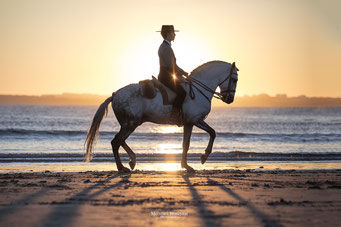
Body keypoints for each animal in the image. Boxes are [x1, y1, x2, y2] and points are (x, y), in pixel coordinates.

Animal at [85, 60, 239, 172]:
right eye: (234, 79)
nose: (230, 99)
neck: (197, 90)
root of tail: (115, 94)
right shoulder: (196, 120)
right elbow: (212, 133)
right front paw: (204, 156)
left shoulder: (189, 123)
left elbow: (186, 144)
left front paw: (185, 165)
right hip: (130, 123)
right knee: (116, 142)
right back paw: (123, 166)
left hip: (130, 124)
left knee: (120, 141)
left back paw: (131, 161)